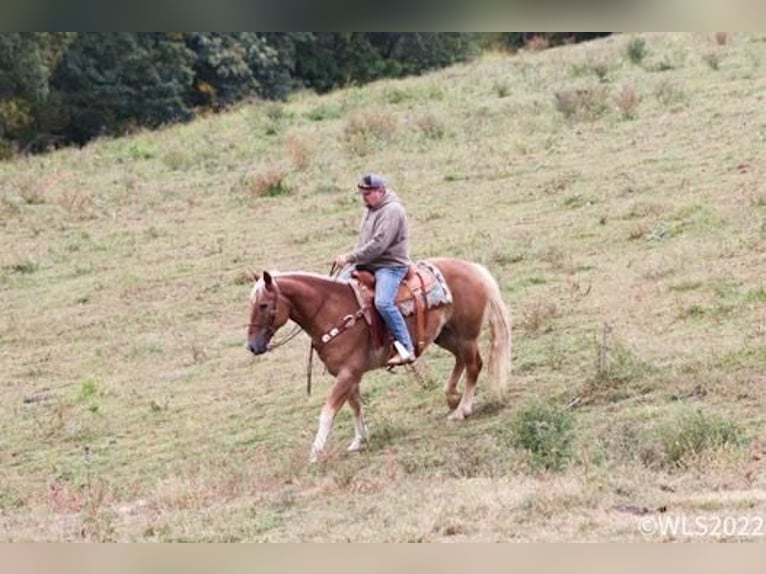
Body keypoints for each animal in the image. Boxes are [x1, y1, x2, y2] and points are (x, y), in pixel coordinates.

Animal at [249, 258, 512, 464]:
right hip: (446, 335)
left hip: (466, 336)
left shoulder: (348, 373)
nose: (253, 346)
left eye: (263, 305)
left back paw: (461, 410)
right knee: (462, 361)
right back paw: (452, 397)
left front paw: (315, 453)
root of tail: (474, 268)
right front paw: (359, 440)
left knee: (474, 365)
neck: (332, 310)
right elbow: (355, 406)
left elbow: (328, 411)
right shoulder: (348, 374)